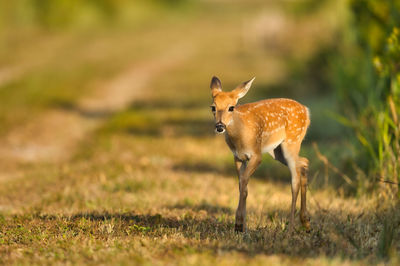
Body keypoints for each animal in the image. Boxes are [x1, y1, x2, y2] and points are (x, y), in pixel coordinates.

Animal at [211, 75, 310, 233]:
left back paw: (290, 229)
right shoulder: (238, 157)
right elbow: (243, 186)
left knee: (294, 180)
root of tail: (306, 111)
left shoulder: (256, 155)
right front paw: (241, 227)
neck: (240, 136)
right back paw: (306, 222)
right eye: (213, 107)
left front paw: (238, 224)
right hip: (277, 151)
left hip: (292, 141)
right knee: (304, 162)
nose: (220, 126)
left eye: (231, 107)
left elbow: (244, 183)